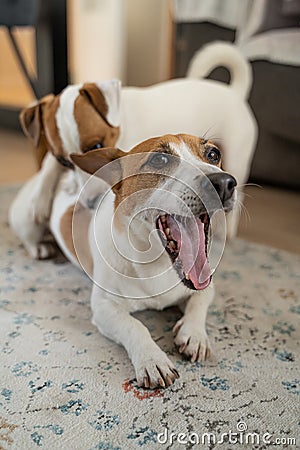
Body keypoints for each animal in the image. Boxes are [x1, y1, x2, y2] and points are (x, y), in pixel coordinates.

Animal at [48, 132, 237, 388]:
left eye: (214, 154)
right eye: (159, 160)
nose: (225, 183)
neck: (157, 264)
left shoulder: (204, 284)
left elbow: (200, 300)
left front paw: (195, 334)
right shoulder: (104, 307)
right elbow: (134, 326)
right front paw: (152, 358)